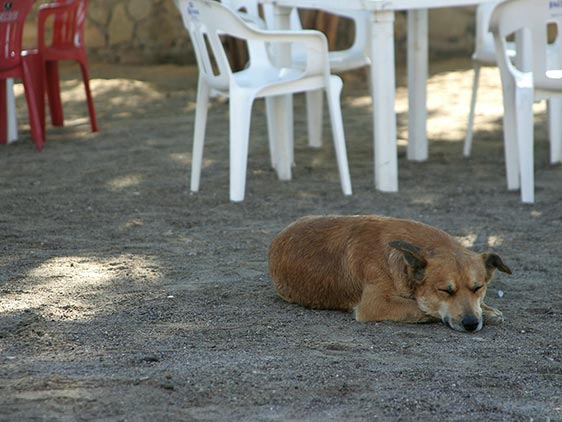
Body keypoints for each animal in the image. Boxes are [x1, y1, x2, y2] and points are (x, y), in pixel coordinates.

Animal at [270, 216, 510, 332]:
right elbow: (422, 309)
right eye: (445, 290)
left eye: (477, 287)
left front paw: (487, 310)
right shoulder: (375, 304)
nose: (471, 323)